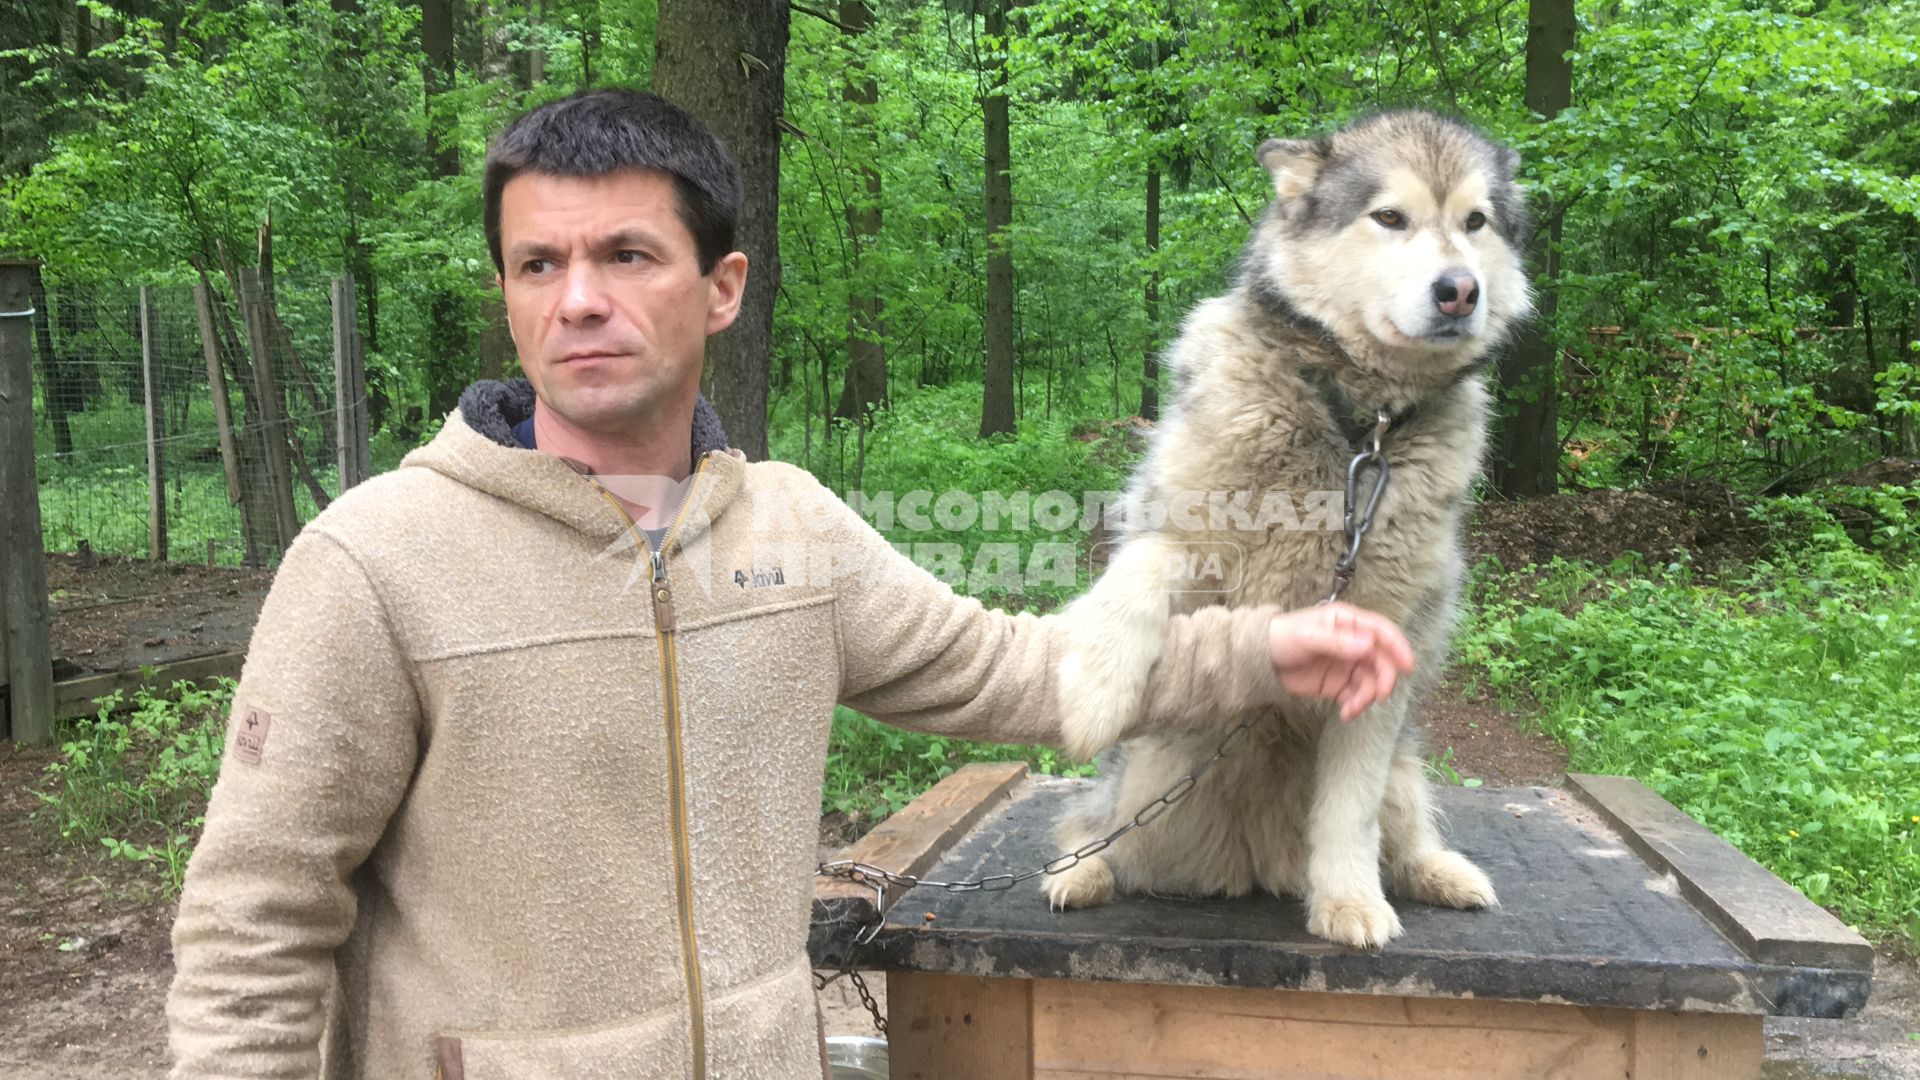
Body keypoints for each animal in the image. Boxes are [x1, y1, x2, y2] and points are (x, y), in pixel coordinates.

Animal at [1044, 111, 1536, 941]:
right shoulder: (1176, 538)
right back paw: (1081, 870)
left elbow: (1348, 813)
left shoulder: (1381, 654)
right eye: (1390, 217)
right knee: (1093, 826)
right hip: (1150, 781)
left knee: (1400, 834)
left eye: (1475, 223)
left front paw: (1349, 902)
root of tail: (1254, 864)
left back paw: (1437, 872)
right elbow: (1140, 573)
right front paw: (1094, 687)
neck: (1357, 428)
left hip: (1404, 776)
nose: (1459, 290)